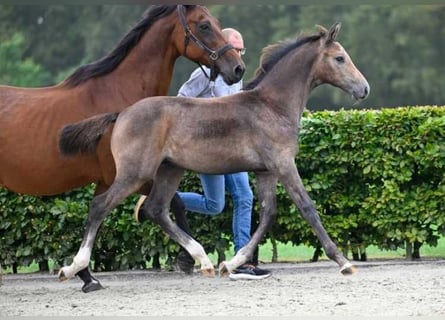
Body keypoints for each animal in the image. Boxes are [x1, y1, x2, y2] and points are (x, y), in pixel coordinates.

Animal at [0, 4, 245, 292]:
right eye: (204, 25)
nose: (238, 68)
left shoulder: (107, 179)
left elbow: (97, 213)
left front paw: (86, 277)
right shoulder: (129, 176)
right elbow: (170, 203)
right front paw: (190, 259)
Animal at [59, 22, 368, 284]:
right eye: (339, 58)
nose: (364, 88)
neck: (272, 106)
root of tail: (121, 114)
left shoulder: (265, 171)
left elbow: (267, 214)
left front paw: (231, 263)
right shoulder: (283, 164)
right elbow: (307, 208)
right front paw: (343, 262)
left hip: (170, 169)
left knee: (156, 208)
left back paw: (204, 261)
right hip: (135, 173)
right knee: (100, 206)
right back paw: (74, 268)